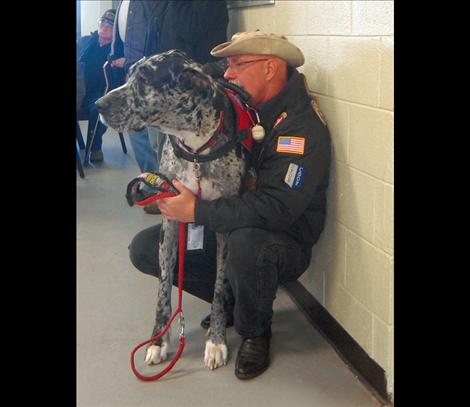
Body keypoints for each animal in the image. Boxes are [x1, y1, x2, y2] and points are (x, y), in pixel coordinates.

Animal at [93, 49, 252, 372]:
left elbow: (219, 287)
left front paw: (216, 341)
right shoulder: (170, 219)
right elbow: (164, 287)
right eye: (129, 73)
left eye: (145, 78)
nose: (97, 105)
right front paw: (158, 341)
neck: (195, 147)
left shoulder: (225, 227)